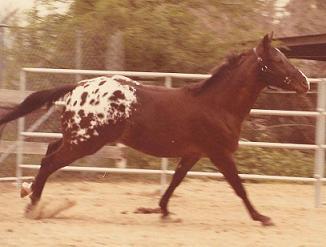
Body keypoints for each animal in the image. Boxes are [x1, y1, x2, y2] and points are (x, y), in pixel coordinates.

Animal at [0, 33, 308, 226]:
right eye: (278, 60)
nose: (304, 82)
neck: (217, 105)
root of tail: (78, 86)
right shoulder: (219, 153)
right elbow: (239, 187)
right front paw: (262, 218)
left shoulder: (194, 154)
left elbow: (174, 183)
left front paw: (162, 211)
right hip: (85, 143)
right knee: (49, 162)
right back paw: (33, 205)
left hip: (76, 137)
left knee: (49, 151)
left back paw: (29, 193)